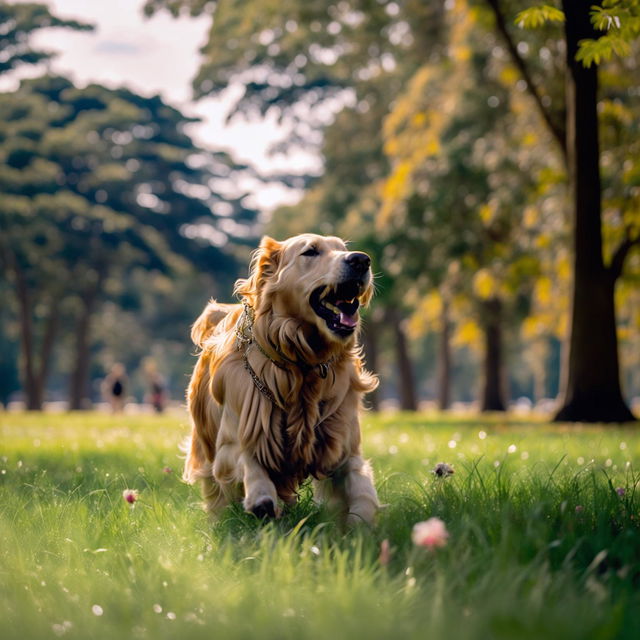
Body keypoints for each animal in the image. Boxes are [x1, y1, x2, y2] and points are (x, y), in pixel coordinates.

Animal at [182, 232, 380, 524]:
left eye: (343, 248)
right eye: (310, 251)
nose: (361, 260)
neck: (303, 365)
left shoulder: (342, 446)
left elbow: (362, 485)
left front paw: (363, 523)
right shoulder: (236, 437)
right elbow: (248, 460)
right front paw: (261, 497)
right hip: (205, 446)